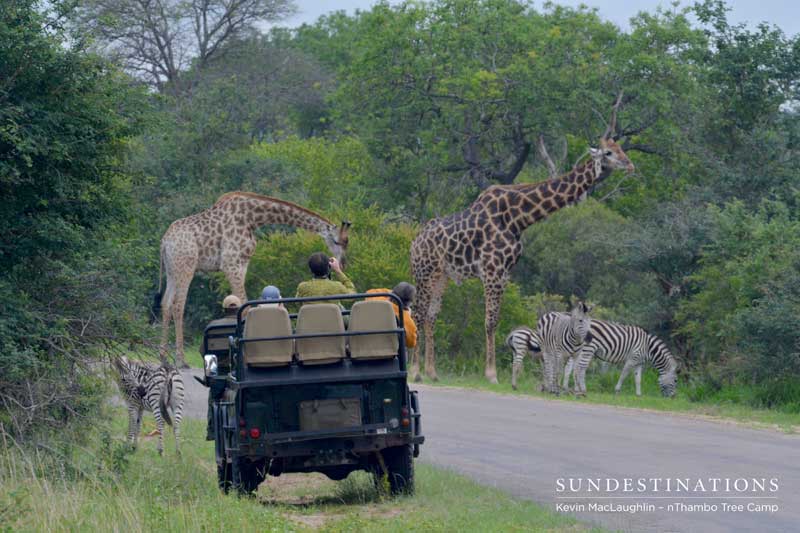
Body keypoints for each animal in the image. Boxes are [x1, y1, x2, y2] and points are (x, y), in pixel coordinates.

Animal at [155, 192, 351, 367]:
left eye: (346, 241)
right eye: (338, 241)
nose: (342, 263)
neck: (253, 218)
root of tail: (164, 242)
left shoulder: (242, 263)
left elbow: (243, 303)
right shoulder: (231, 262)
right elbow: (243, 303)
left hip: (172, 270)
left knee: (166, 303)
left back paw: (164, 358)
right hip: (186, 266)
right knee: (178, 305)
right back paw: (180, 360)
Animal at [410, 133, 634, 384]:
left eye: (621, 148)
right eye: (608, 153)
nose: (630, 165)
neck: (518, 218)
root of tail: (414, 242)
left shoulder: (505, 272)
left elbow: (495, 319)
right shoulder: (492, 270)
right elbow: (490, 321)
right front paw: (491, 374)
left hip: (442, 275)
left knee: (431, 316)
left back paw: (432, 372)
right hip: (424, 272)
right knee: (418, 313)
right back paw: (415, 371)